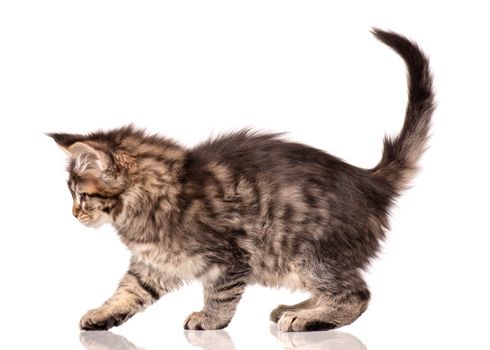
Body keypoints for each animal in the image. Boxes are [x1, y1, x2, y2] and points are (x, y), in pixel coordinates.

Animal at [48, 29, 432, 330]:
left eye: (81, 195)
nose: (73, 214)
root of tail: (368, 180)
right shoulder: (153, 264)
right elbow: (128, 292)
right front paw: (103, 314)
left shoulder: (230, 256)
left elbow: (221, 293)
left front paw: (209, 319)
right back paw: (297, 307)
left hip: (309, 253)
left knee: (356, 293)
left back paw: (306, 318)